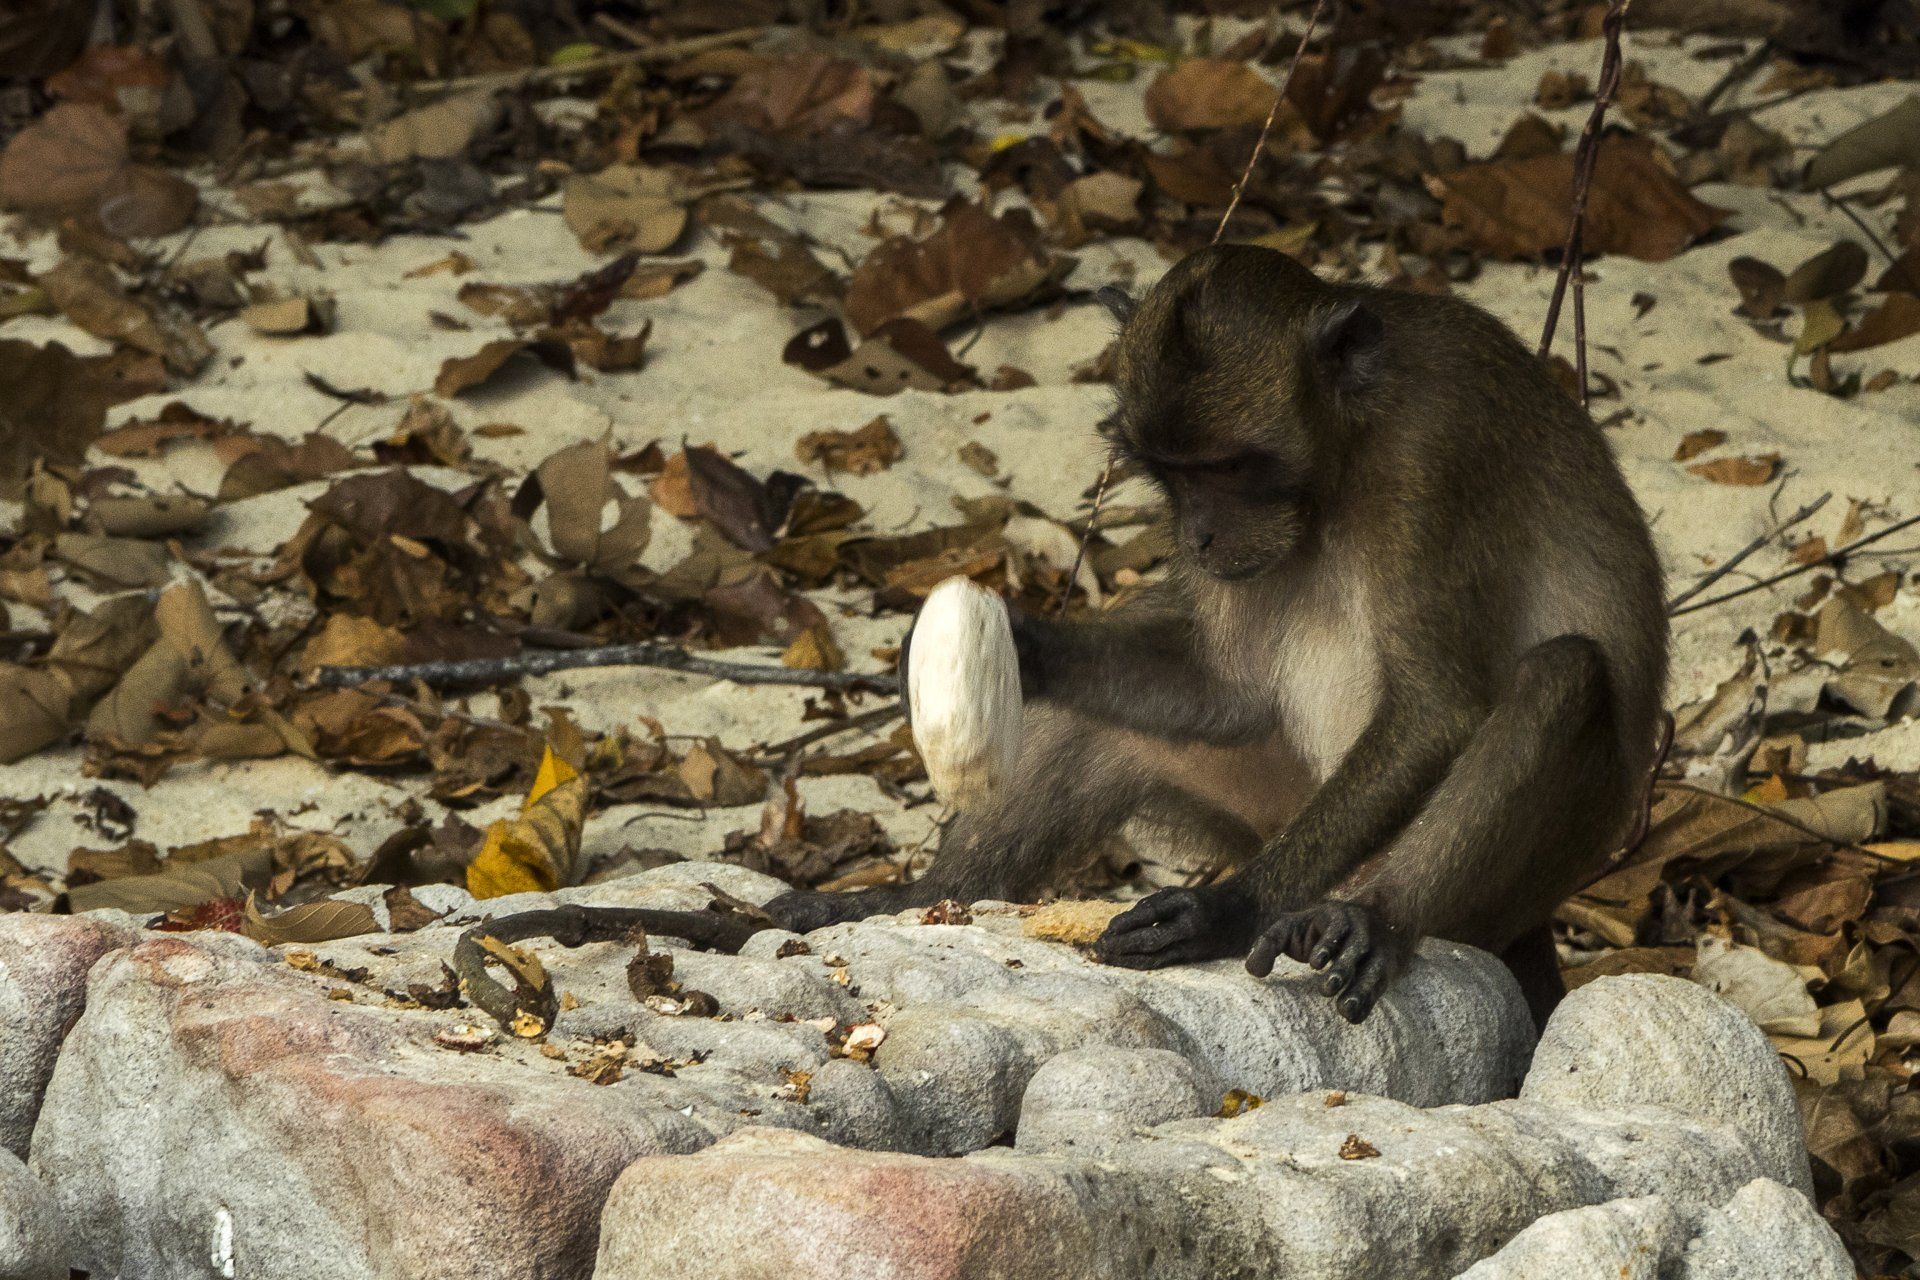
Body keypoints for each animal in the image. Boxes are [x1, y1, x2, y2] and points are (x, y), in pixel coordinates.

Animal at [765, 244, 1667, 1027]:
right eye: (1170, 473)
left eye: (1232, 467)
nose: (1197, 536)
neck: (1349, 449)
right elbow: (1224, 693)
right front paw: (1025, 646)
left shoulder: (1434, 456)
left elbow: (1438, 708)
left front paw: (1229, 908)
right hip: (1275, 809)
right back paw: (911, 901)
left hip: (1490, 881)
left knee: (1564, 676)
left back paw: (1374, 917)